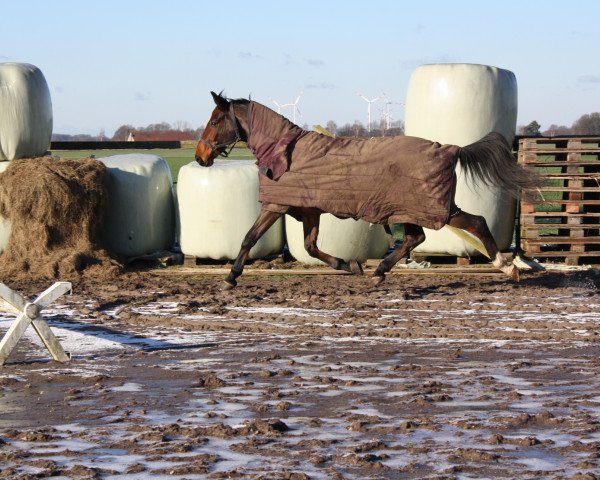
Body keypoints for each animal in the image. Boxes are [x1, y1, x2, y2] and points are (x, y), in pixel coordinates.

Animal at [195, 92, 536, 290]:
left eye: (215, 119)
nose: (200, 156)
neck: (285, 152)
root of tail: (449, 148)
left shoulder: (275, 206)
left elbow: (249, 238)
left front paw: (230, 277)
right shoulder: (310, 210)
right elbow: (310, 247)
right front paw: (352, 265)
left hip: (428, 208)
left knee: (473, 223)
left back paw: (507, 267)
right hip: (411, 209)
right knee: (418, 237)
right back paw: (380, 270)